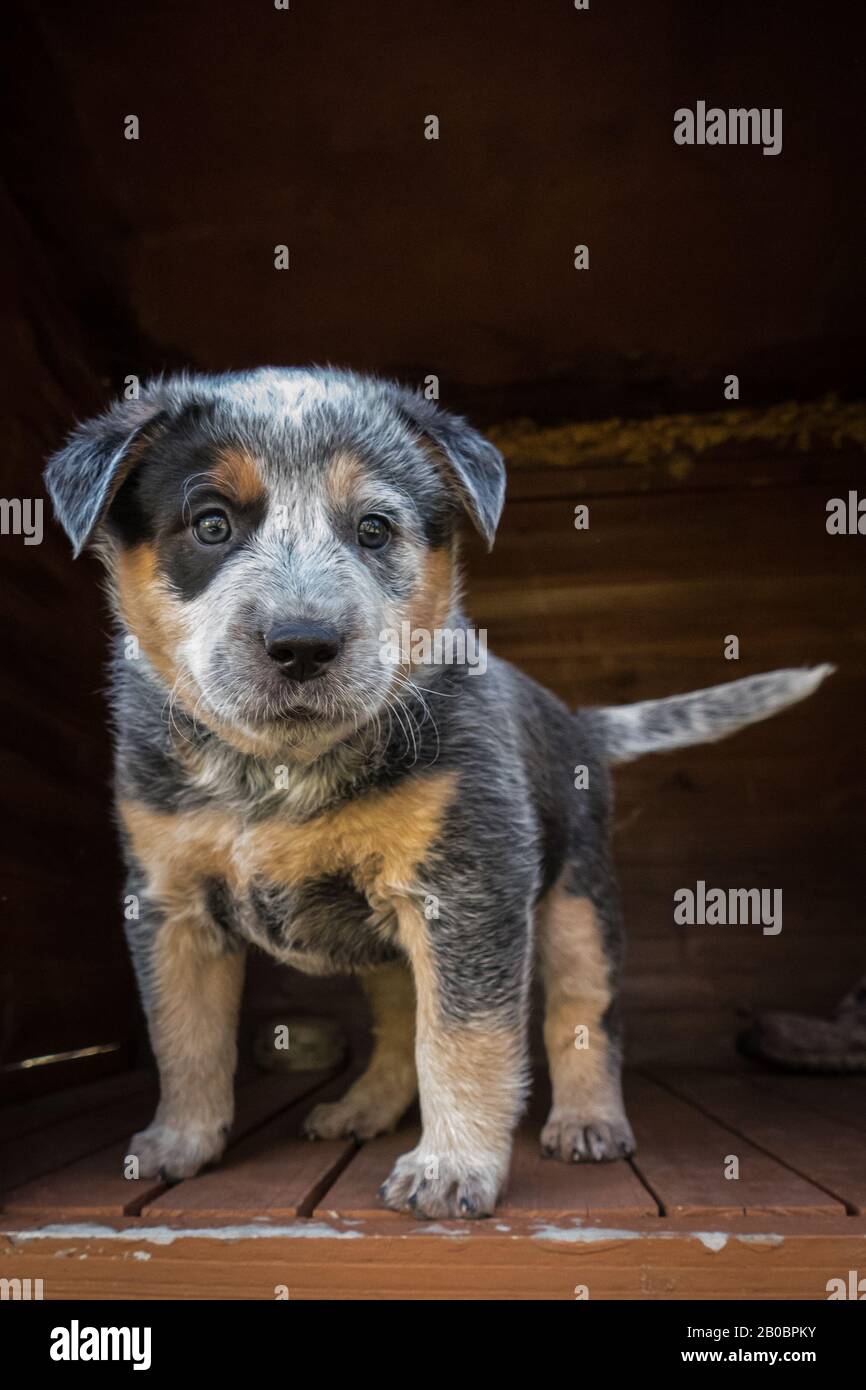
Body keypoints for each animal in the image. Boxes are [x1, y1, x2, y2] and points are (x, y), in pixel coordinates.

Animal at [42, 366, 834, 1217]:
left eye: (375, 529)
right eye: (212, 524)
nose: (302, 643)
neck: (275, 774)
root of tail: (575, 722)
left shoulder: (470, 887)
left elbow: (463, 1038)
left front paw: (452, 1168)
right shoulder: (169, 902)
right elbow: (183, 1035)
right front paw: (177, 1143)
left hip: (579, 901)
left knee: (583, 1014)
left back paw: (588, 1122)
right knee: (397, 1024)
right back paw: (361, 1108)